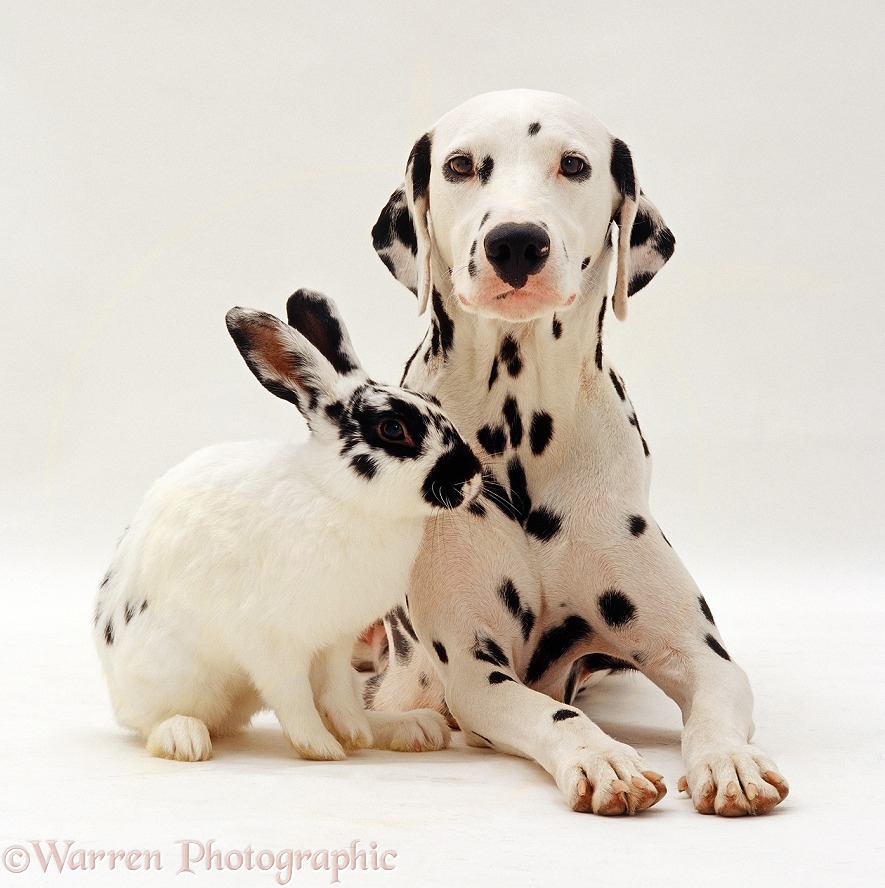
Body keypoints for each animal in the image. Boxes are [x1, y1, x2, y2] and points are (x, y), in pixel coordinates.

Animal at [95, 292, 484, 764]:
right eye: (393, 428)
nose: (473, 475)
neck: (338, 497)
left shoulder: (335, 641)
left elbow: (338, 696)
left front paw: (354, 736)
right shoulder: (272, 642)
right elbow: (292, 697)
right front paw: (320, 748)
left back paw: (407, 727)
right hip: (170, 672)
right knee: (152, 720)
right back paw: (184, 738)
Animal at [366, 90, 788, 820]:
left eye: (572, 164)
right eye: (459, 165)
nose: (515, 241)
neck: (521, 432)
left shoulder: (701, 653)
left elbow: (715, 707)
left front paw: (729, 760)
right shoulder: (474, 669)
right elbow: (552, 714)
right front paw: (600, 757)